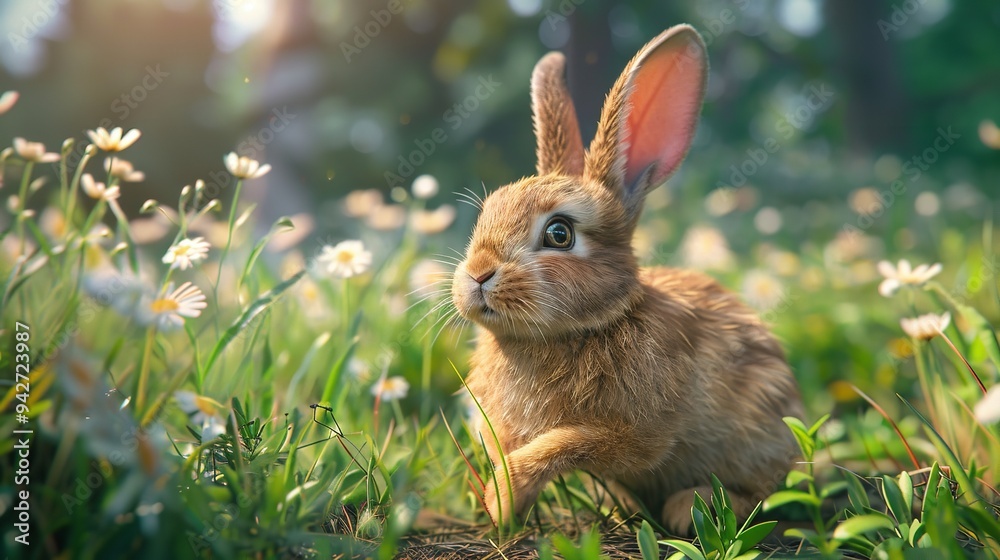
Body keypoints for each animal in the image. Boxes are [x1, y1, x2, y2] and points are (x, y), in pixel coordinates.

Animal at [450, 24, 803, 534]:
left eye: (559, 233)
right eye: (487, 213)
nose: (478, 272)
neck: (587, 326)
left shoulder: (637, 435)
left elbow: (568, 443)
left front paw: (502, 498)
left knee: (764, 493)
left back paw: (690, 508)